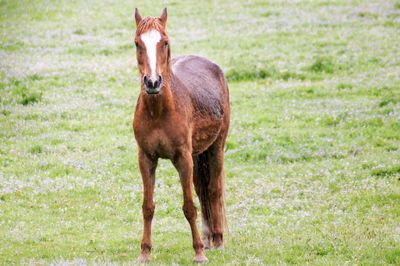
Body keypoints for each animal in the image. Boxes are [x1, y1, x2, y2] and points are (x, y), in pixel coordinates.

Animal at [133, 7, 230, 262]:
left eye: (164, 42)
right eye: (137, 43)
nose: (152, 82)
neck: (159, 110)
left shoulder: (183, 158)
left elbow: (189, 206)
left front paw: (198, 253)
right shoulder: (146, 158)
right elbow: (148, 207)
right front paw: (144, 252)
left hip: (216, 148)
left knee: (213, 190)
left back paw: (217, 239)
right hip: (198, 154)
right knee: (202, 190)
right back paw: (207, 238)